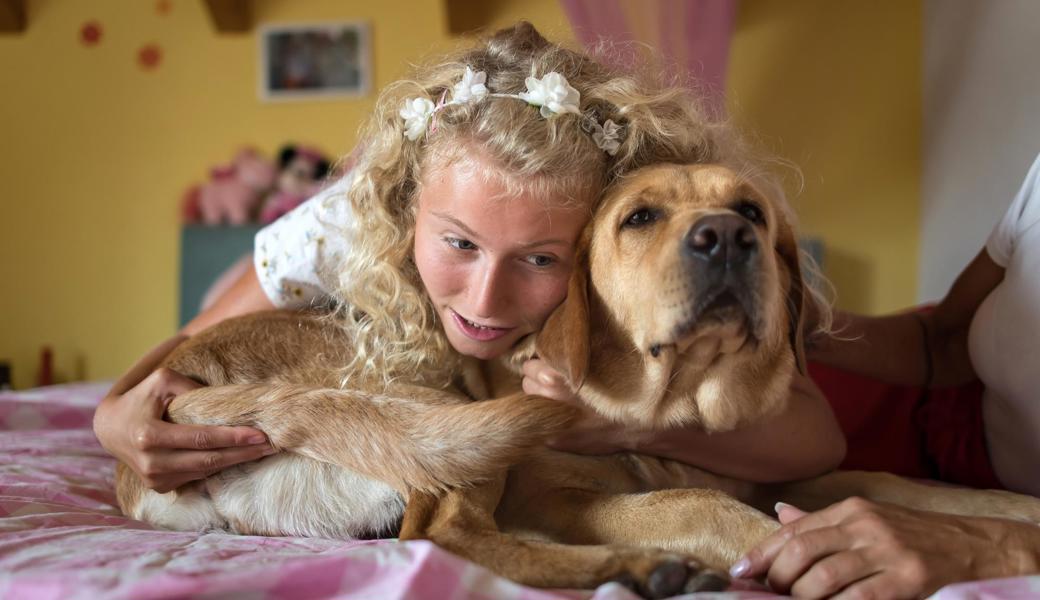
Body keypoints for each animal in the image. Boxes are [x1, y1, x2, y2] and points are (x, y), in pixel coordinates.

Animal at [113, 164, 1040, 598]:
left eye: (751, 211)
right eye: (639, 218)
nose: (726, 238)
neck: (678, 404)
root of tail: (187, 382)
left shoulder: (801, 469)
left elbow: (901, 484)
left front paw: (1008, 516)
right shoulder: (552, 493)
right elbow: (700, 505)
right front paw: (771, 545)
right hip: (434, 413)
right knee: (446, 533)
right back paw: (644, 568)